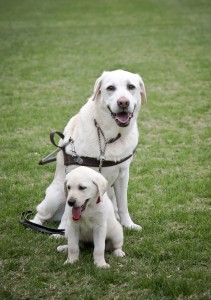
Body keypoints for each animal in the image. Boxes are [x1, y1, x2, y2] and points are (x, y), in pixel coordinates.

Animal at [32, 69, 147, 231]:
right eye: (110, 88)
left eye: (131, 86)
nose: (123, 102)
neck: (108, 136)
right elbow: (69, 210)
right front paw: (62, 232)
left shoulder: (123, 175)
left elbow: (123, 204)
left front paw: (128, 224)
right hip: (55, 194)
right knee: (41, 213)